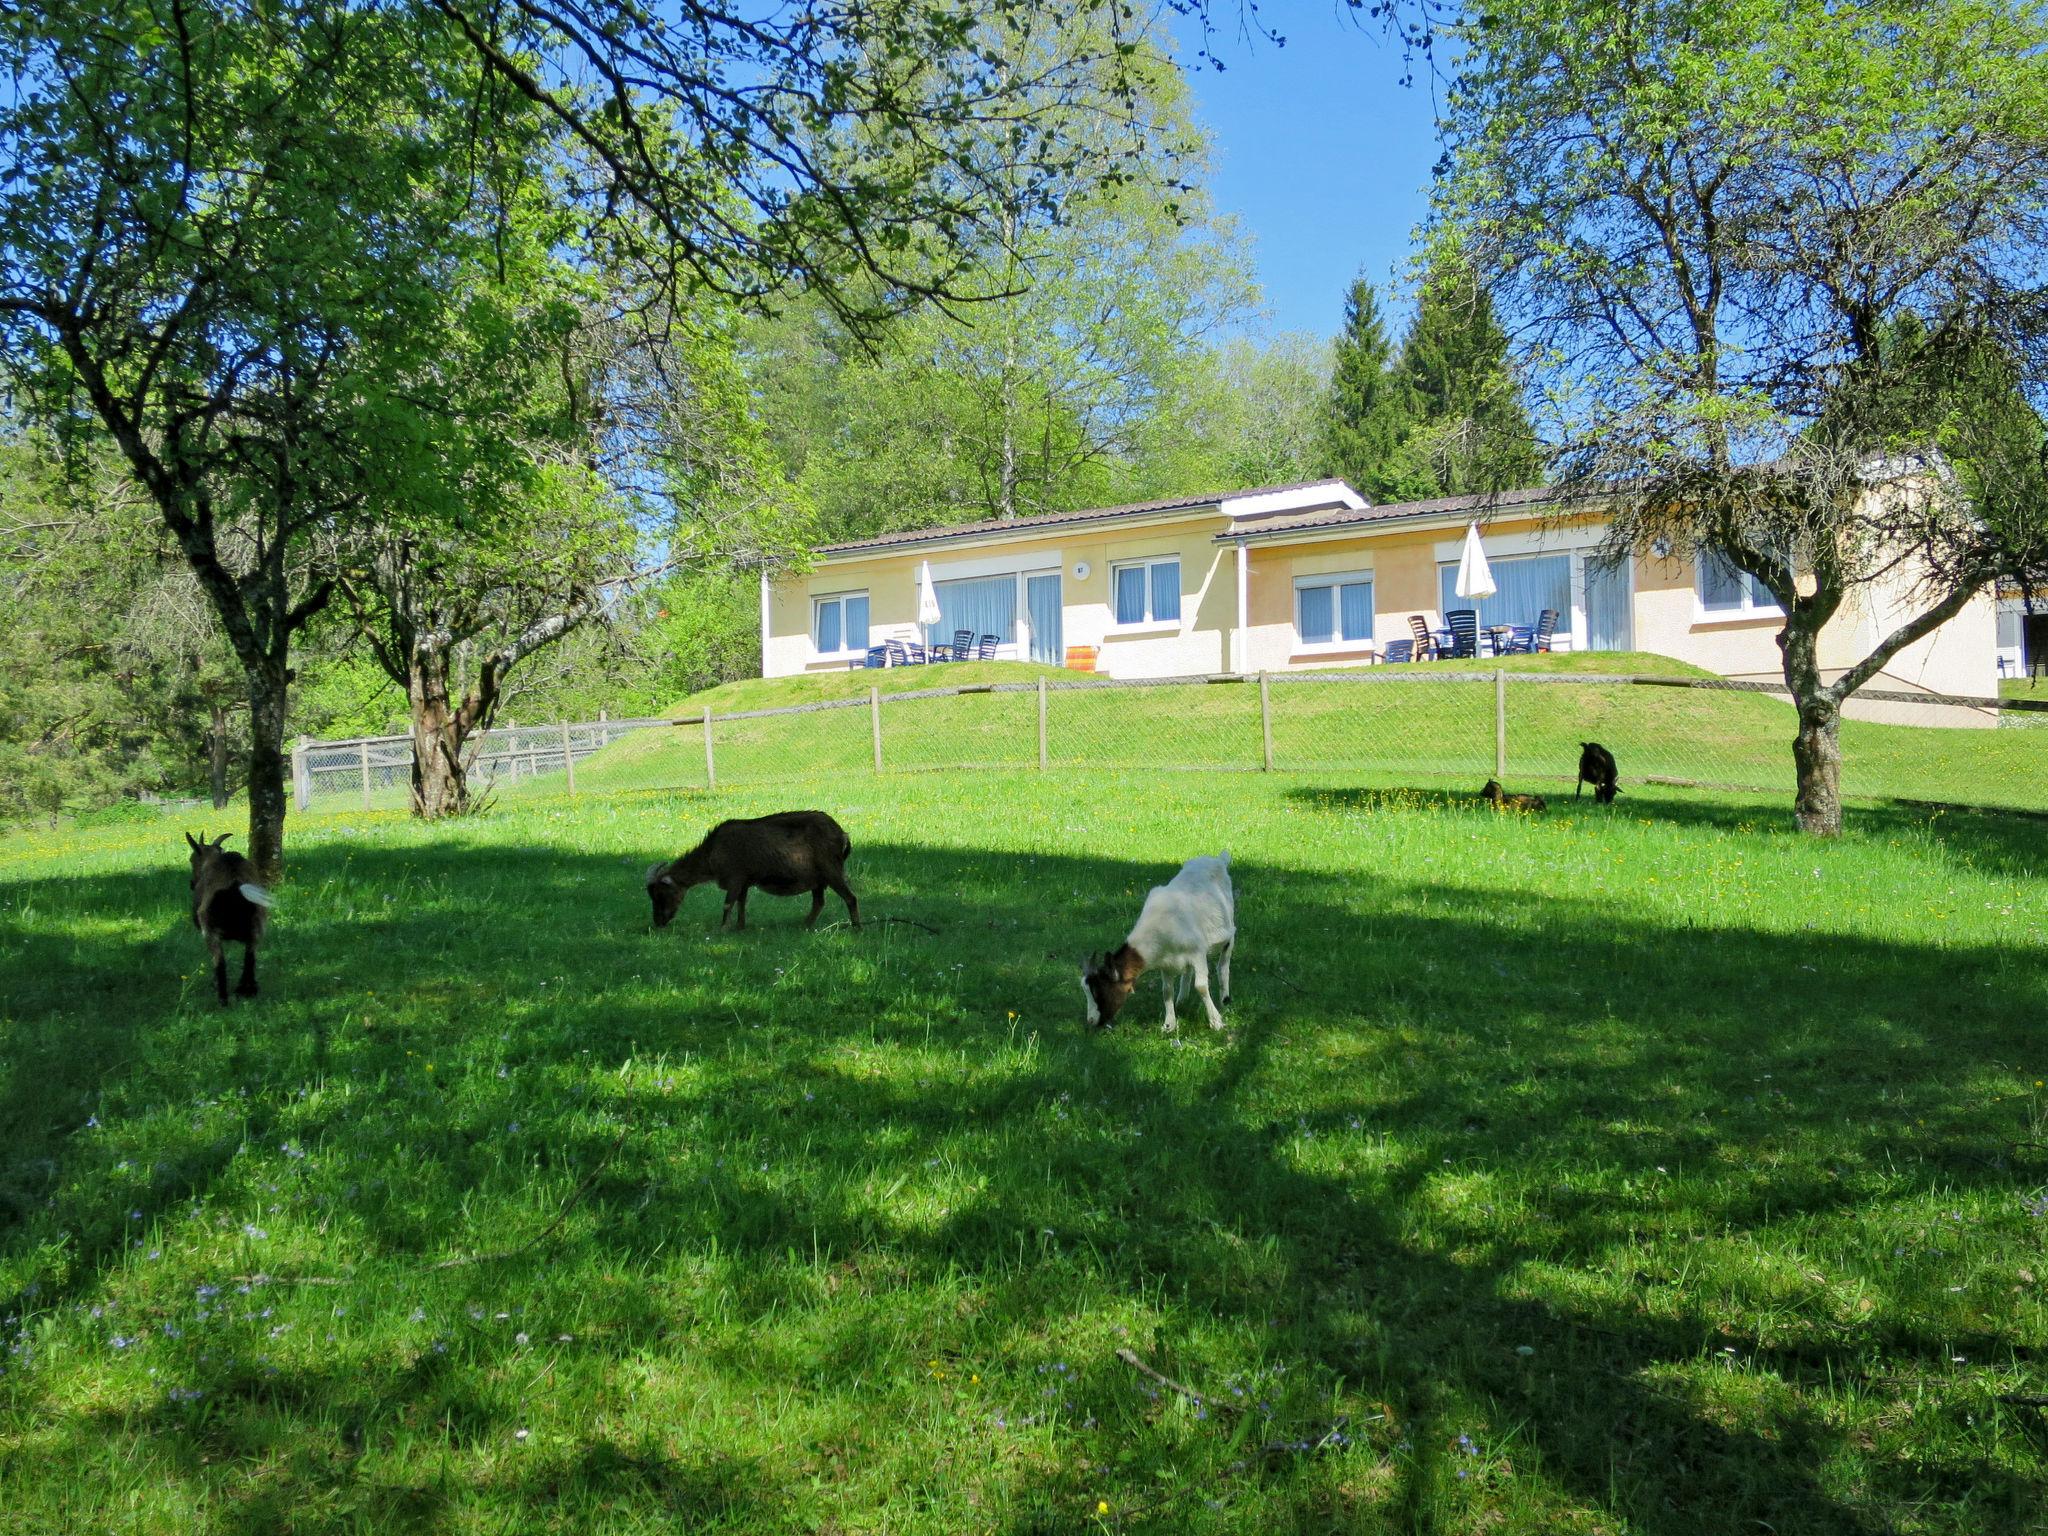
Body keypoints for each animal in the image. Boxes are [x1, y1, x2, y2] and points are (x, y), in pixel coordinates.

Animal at [186, 831, 270, 1011]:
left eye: (191, 859)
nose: (191, 883)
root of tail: (234, 885)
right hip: (257, 925)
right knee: (250, 958)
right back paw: (247, 990)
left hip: (210, 931)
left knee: (220, 963)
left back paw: (223, 998)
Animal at [647, 811, 856, 933]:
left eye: (661, 894)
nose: (658, 922)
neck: (712, 852)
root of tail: (842, 834)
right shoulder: (744, 882)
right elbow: (741, 903)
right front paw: (740, 927)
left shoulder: (735, 878)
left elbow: (727, 904)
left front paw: (722, 929)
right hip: (818, 880)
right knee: (819, 903)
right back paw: (804, 925)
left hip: (831, 871)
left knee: (850, 898)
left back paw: (857, 928)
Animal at [1081, 856, 1236, 1036]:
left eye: (1098, 992)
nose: (1091, 1021)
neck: (1162, 925)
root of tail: (1218, 859)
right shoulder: (1166, 963)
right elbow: (1166, 991)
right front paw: (1169, 1025)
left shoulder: (1198, 953)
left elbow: (1201, 986)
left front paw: (1216, 1021)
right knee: (1187, 973)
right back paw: (1182, 999)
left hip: (1229, 930)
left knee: (1223, 965)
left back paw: (1225, 999)